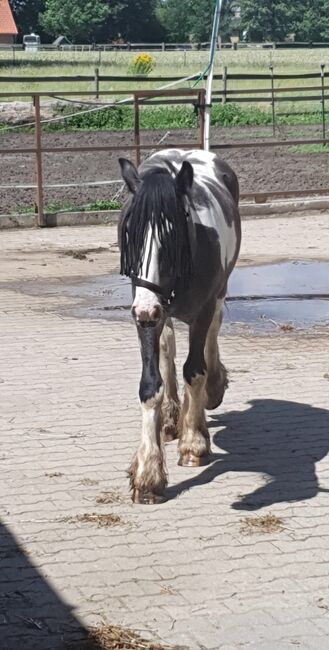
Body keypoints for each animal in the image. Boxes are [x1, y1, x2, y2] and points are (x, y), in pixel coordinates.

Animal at [118, 149, 241, 504]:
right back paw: (172, 418)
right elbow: (151, 385)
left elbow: (195, 371)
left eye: (171, 236)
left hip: (216, 294)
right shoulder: (146, 312)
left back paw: (208, 393)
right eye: (129, 233)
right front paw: (148, 473)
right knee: (168, 346)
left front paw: (194, 443)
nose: (146, 310)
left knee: (212, 336)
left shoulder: (202, 309)